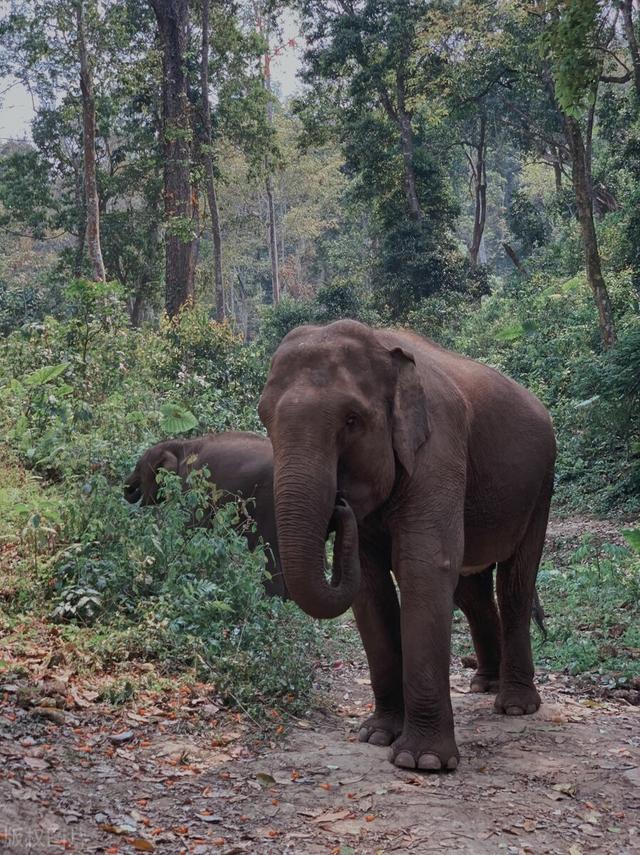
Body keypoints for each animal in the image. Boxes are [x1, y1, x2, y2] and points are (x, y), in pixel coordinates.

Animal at [258, 320, 556, 768]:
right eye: (264, 417)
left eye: (351, 420)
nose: (340, 503)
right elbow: (370, 586)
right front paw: (377, 735)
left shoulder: (438, 448)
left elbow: (423, 567)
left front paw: (423, 761)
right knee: (472, 591)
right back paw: (483, 684)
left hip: (541, 487)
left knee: (515, 583)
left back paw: (516, 705)